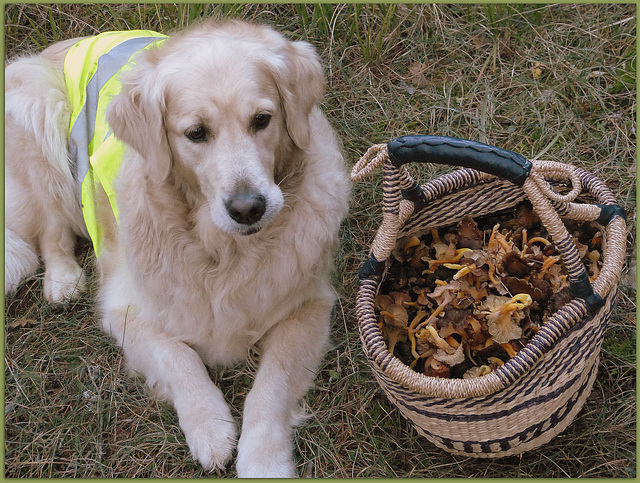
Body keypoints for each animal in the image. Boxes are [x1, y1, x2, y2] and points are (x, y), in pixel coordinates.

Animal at [5, 20, 348, 478]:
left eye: (262, 120)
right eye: (196, 133)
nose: (248, 208)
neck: (222, 250)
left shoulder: (308, 305)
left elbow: (271, 385)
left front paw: (263, 460)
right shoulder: (123, 307)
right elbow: (177, 355)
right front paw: (210, 426)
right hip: (34, 103)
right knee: (50, 225)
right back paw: (62, 279)